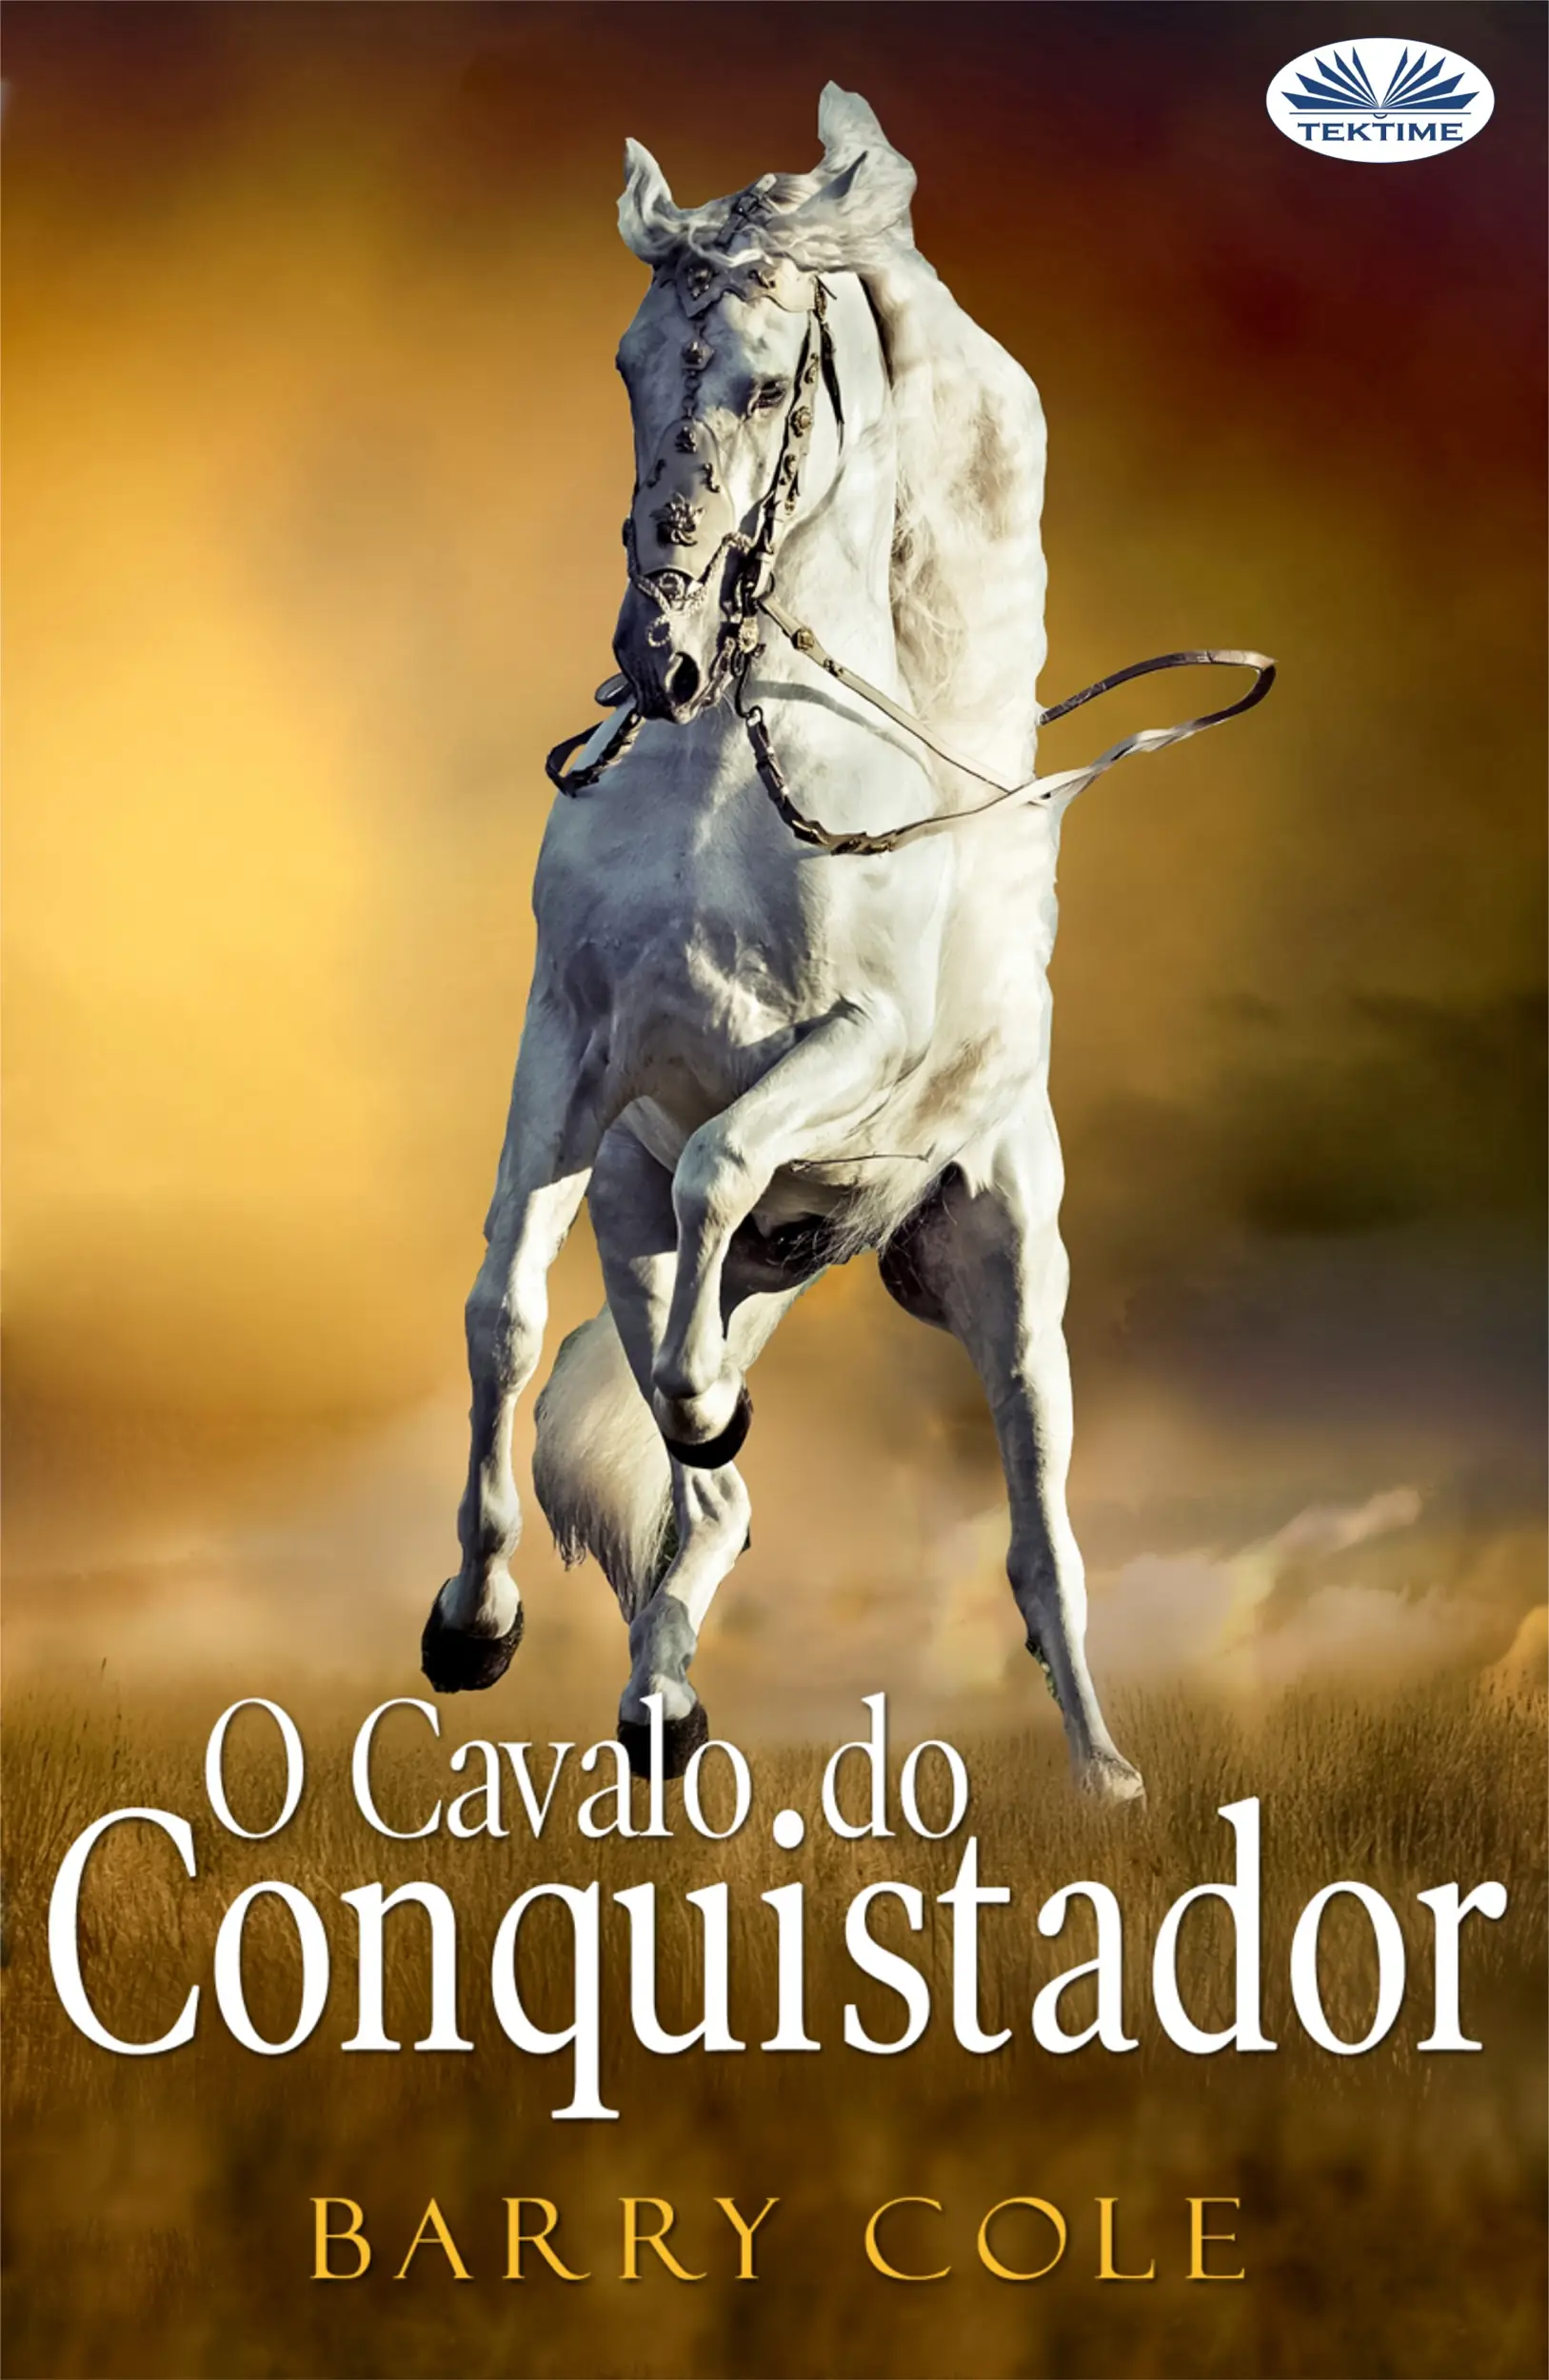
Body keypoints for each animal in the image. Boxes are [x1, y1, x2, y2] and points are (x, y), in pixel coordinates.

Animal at [420, 85, 1271, 1800]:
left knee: (1037, 1539)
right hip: (658, 1250)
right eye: (629, 366)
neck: (723, 774)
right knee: (701, 1504)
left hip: (1004, 1271)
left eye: (761, 378)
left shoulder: (848, 1046)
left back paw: (1104, 1780)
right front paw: (470, 1627)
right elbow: (500, 1311)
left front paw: (701, 1409)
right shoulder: (566, 1046)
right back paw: (660, 1708)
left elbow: (719, 1156)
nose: (659, 656)